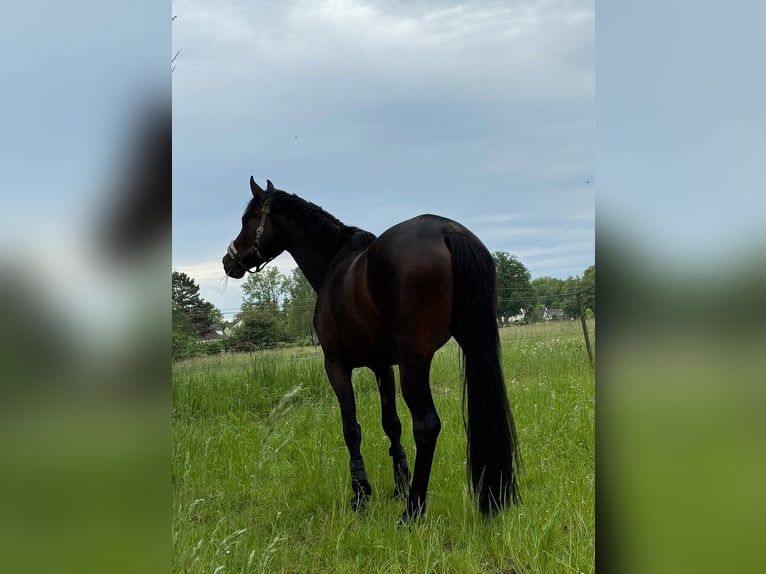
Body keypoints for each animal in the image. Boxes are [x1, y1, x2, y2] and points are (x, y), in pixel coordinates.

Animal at [222, 177, 520, 520]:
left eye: (247, 219)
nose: (228, 261)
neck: (334, 264)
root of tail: (449, 232)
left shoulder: (336, 365)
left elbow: (351, 427)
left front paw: (361, 492)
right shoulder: (383, 366)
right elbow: (391, 424)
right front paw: (398, 483)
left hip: (414, 362)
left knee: (427, 426)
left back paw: (412, 511)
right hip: (473, 346)